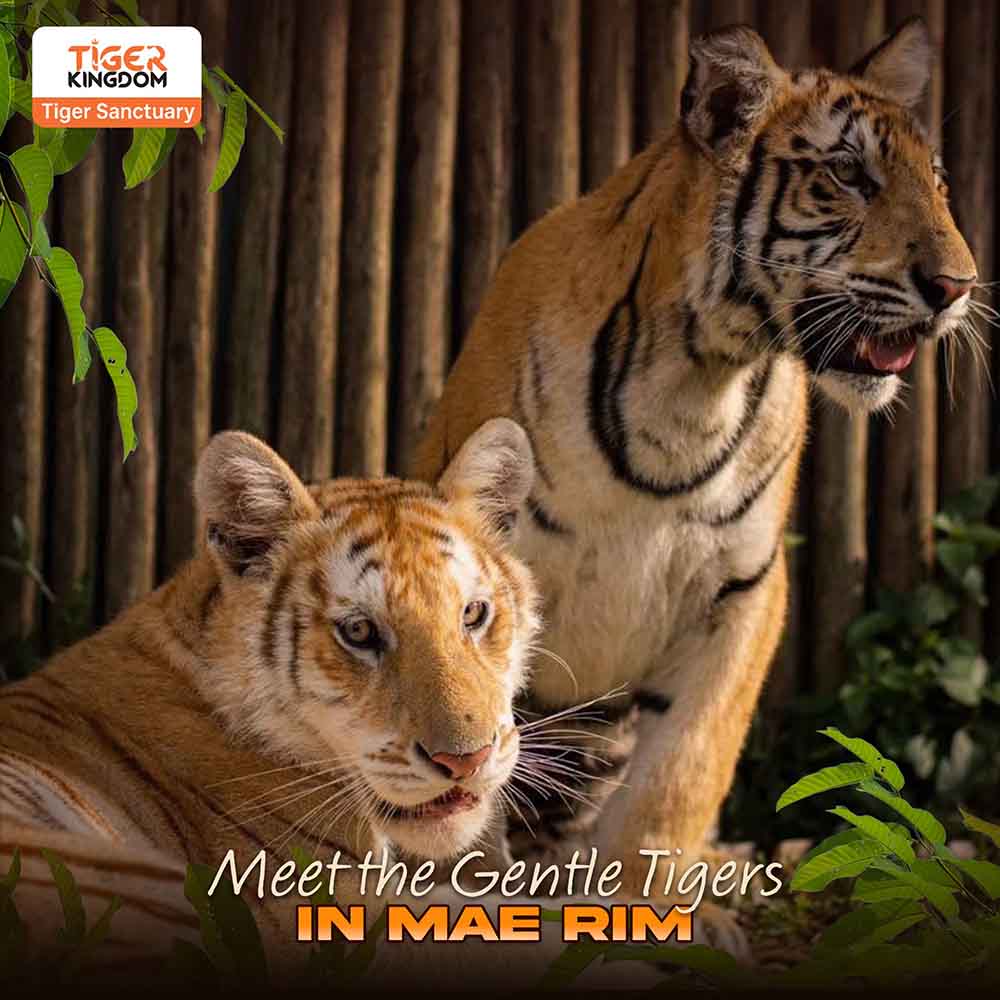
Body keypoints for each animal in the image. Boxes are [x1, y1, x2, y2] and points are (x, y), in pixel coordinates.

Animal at [413, 16, 977, 945]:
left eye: (935, 182)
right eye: (848, 176)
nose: (958, 287)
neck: (694, 379)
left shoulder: (745, 592)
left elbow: (679, 778)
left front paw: (659, 917)